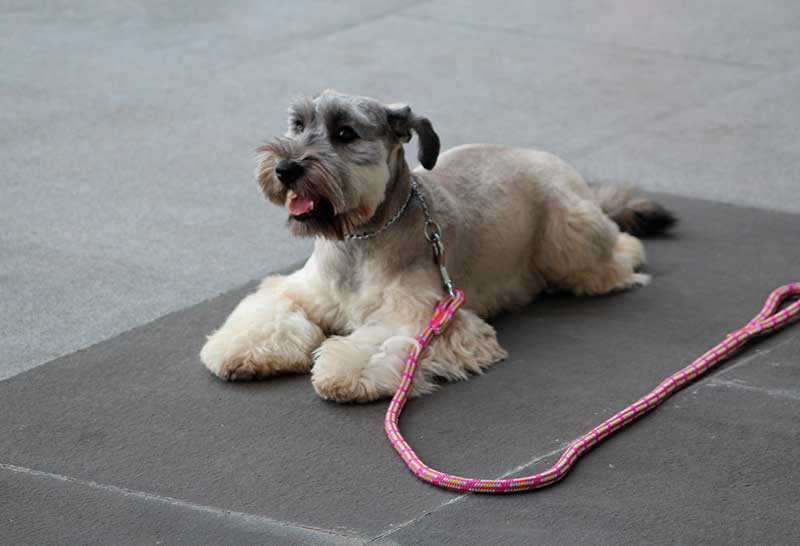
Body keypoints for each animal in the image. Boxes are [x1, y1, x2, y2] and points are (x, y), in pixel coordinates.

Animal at [198, 90, 668, 400]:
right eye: (297, 125)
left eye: (345, 133)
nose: (285, 168)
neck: (359, 242)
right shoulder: (297, 291)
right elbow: (269, 312)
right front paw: (242, 349)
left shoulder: (424, 319)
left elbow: (374, 345)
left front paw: (341, 372)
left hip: (570, 236)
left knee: (619, 250)